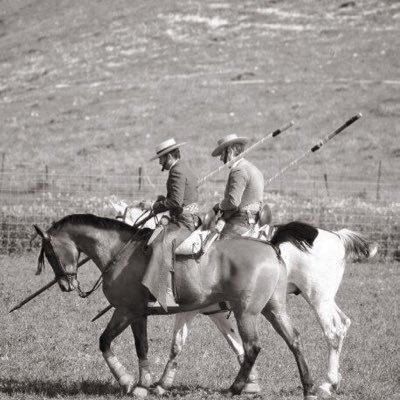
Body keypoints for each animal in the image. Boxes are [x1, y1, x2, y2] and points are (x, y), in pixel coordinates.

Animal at [32, 216, 318, 400]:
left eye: (49, 253)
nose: (66, 285)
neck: (120, 252)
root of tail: (270, 246)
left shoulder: (129, 311)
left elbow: (132, 345)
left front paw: (134, 383)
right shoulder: (132, 313)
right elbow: (112, 342)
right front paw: (138, 382)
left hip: (245, 312)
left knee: (252, 347)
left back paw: (234, 388)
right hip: (273, 309)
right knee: (294, 340)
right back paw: (309, 388)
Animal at [111, 202, 376, 398]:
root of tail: (337, 237)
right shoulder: (215, 311)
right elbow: (234, 343)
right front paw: (250, 382)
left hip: (318, 298)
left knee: (332, 331)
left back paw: (325, 383)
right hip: (325, 299)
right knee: (342, 324)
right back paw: (332, 382)